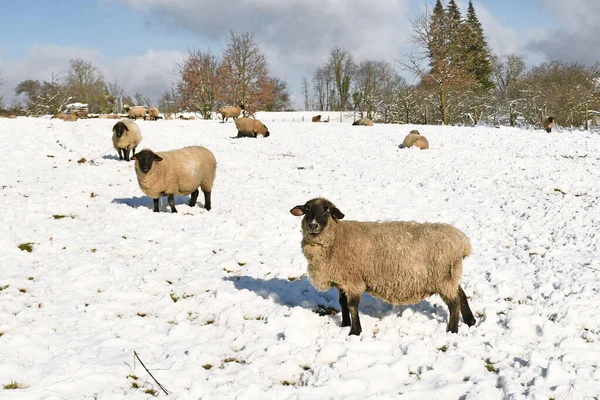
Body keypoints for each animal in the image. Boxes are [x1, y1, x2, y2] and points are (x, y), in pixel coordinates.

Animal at [290, 198, 478, 336]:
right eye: (306, 209)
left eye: (327, 210)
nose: (313, 225)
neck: (336, 237)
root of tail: (462, 241)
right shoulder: (342, 280)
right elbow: (342, 303)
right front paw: (344, 325)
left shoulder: (353, 281)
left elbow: (352, 306)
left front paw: (354, 332)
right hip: (450, 275)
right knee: (461, 294)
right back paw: (470, 321)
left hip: (444, 277)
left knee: (454, 303)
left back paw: (452, 330)